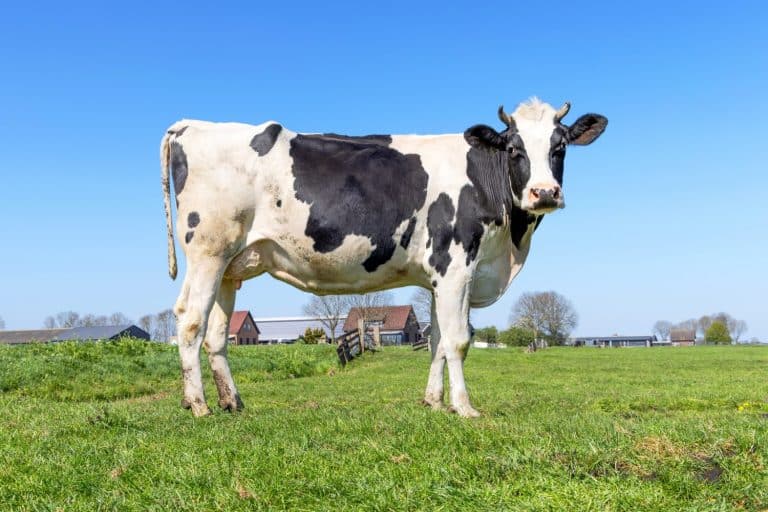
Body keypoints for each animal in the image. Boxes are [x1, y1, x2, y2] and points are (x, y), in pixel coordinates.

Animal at [160, 98, 607, 417]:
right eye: (514, 149)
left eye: (560, 146)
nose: (544, 193)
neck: (508, 247)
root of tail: (190, 124)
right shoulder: (456, 265)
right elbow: (459, 340)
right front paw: (464, 408)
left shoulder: (437, 277)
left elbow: (436, 341)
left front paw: (433, 402)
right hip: (208, 251)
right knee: (190, 321)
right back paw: (198, 405)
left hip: (231, 266)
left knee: (217, 334)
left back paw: (232, 403)